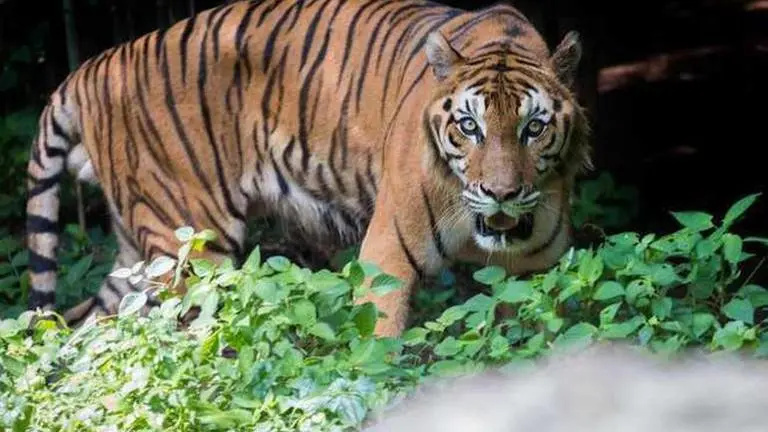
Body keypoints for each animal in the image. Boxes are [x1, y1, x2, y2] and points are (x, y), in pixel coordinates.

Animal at [25, 0, 590, 337]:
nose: (501, 193)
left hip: (140, 255)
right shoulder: (387, 253)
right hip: (189, 245)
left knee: (91, 332)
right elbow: (380, 341)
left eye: (534, 128)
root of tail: (98, 65)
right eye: (469, 127)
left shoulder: (534, 268)